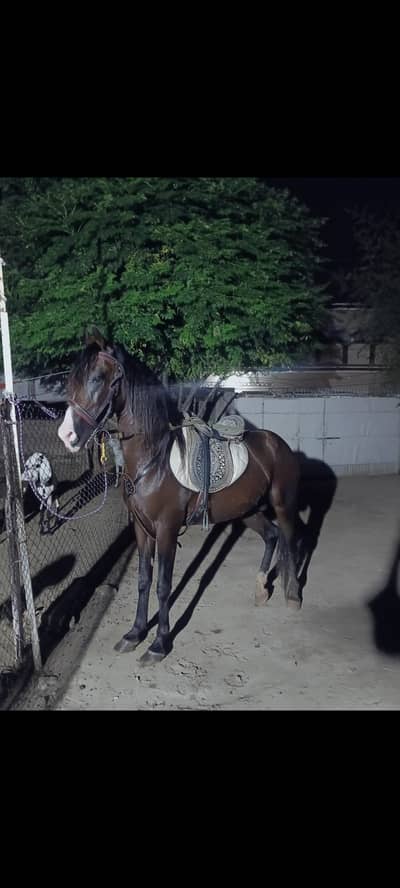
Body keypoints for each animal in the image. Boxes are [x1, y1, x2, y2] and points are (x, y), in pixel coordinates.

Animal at [58, 331, 302, 664]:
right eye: (72, 379)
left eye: (96, 378)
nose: (66, 436)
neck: (153, 460)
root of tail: (278, 444)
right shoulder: (142, 529)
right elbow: (144, 580)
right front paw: (134, 634)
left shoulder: (167, 529)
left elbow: (163, 585)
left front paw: (159, 644)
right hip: (248, 510)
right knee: (272, 536)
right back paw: (261, 589)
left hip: (282, 504)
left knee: (290, 539)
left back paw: (293, 596)